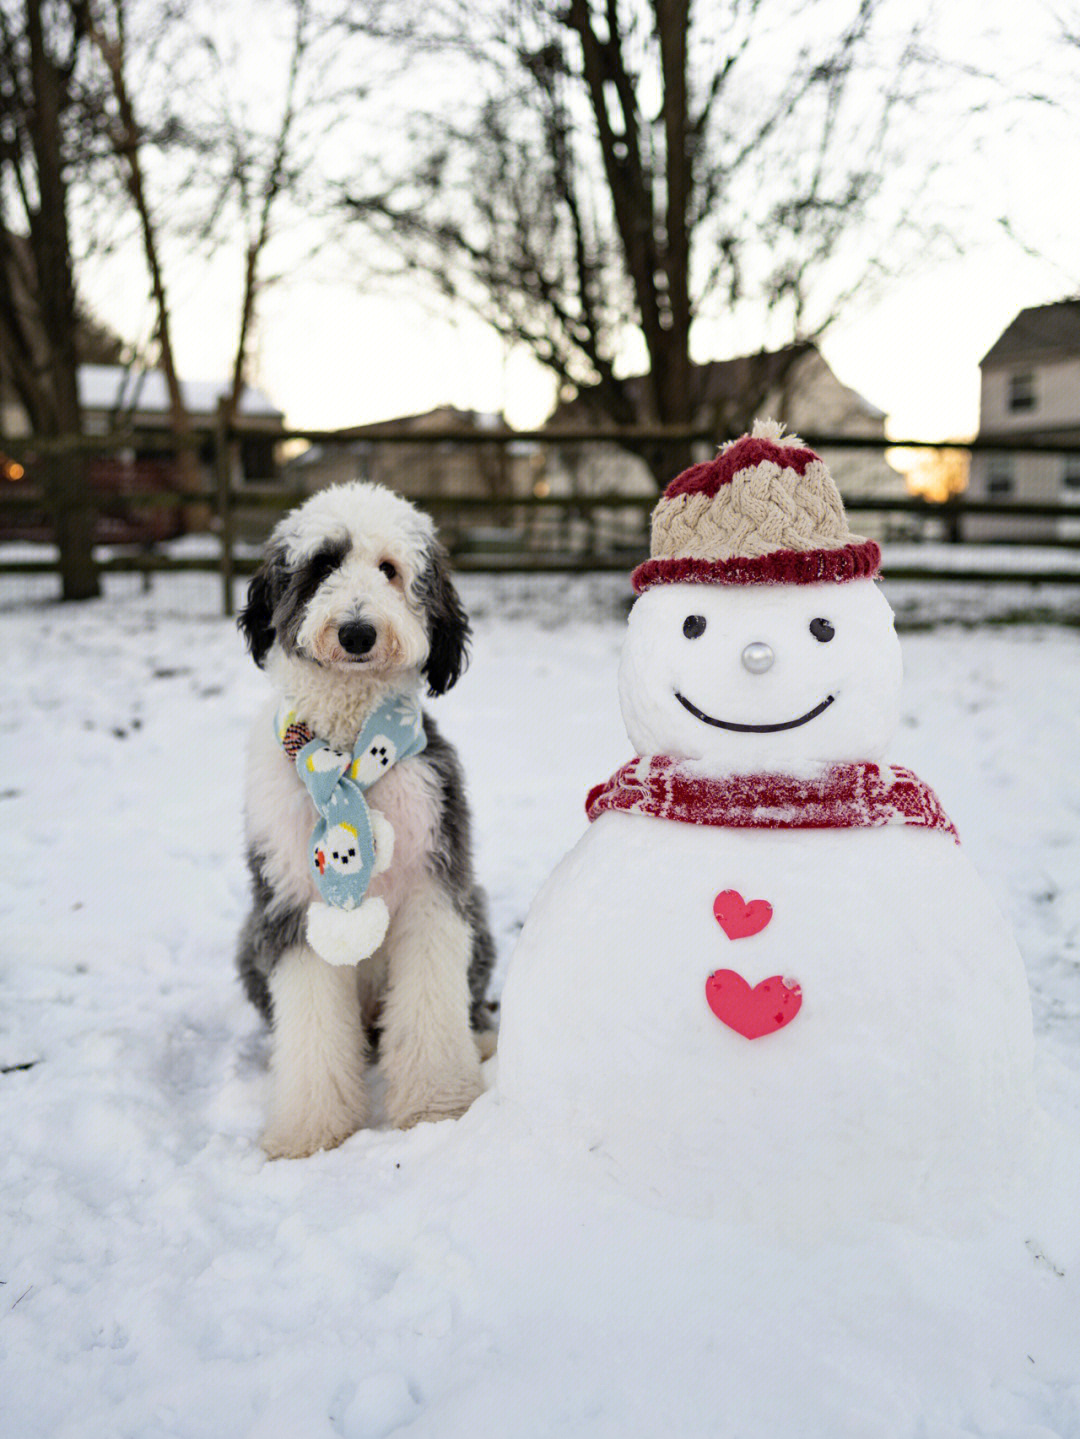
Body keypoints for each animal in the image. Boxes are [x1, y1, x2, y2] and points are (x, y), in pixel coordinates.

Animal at [238, 483, 497, 1156]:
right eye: (323, 564)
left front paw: (438, 1107)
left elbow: (432, 1002)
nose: (357, 631)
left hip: (478, 917)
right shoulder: (291, 904)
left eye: (389, 570)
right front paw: (308, 1132)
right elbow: (310, 1024)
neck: (348, 754)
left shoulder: (435, 884)